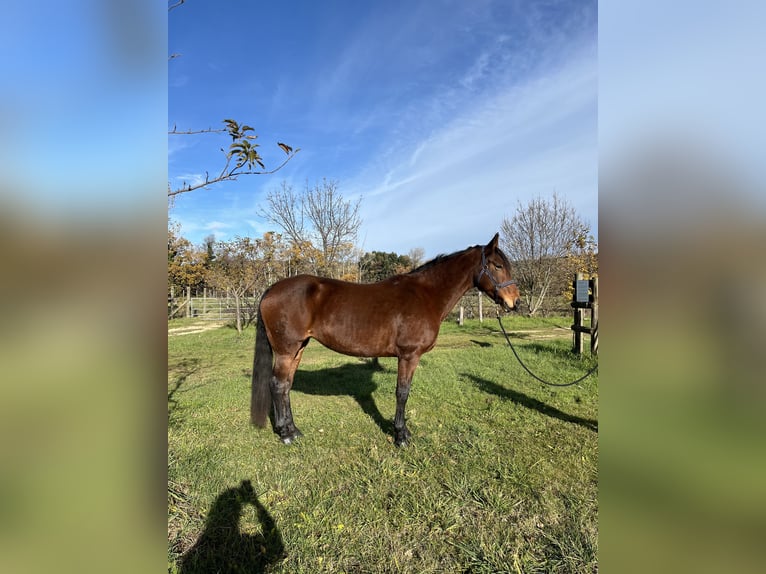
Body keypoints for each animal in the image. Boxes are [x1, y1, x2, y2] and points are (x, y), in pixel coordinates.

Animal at [250, 232, 520, 446]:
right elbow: (402, 392)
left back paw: (293, 430)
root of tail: (271, 289)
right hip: (286, 350)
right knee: (277, 385)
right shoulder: (409, 355)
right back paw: (285, 434)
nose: (514, 302)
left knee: (286, 386)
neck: (426, 295)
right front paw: (401, 435)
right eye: (497, 266)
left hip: (298, 349)